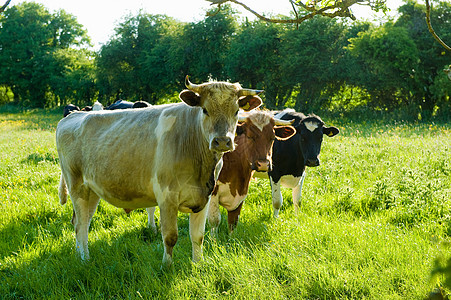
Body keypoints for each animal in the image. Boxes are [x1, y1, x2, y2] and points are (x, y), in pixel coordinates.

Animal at [55, 76, 264, 266]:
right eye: (205, 110)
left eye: (236, 111)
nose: (222, 141)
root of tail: (73, 115)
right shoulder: (167, 197)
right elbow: (170, 237)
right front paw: (167, 266)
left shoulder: (204, 196)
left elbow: (198, 236)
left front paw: (198, 264)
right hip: (77, 186)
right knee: (80, 225)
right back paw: (84, 259)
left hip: (92, 190)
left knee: (82, 221)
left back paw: (80, 256)